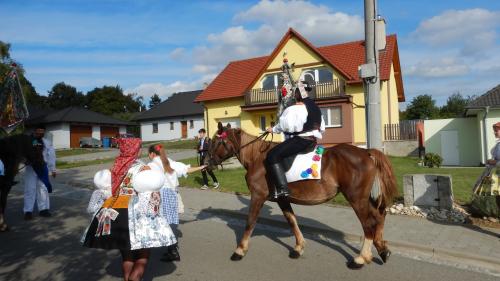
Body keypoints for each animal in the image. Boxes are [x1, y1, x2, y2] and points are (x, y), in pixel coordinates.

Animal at [207, 128, 398, 268]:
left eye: (216, 141)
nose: (208, 163)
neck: (257, 158)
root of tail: (366, 152)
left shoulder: (257, 196)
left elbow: (250, 222)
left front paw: (239, 250)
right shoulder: (282, 199)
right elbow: (292, 221)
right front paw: (298, 248)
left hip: (356, 198)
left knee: (368, 224)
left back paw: (361, 258)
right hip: (364, 198)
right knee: (379, 216)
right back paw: (382, 250)